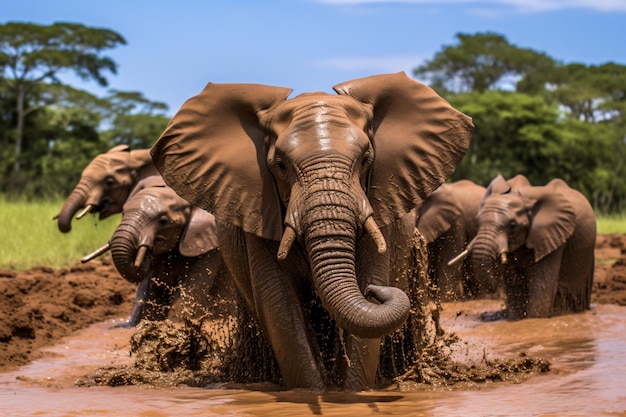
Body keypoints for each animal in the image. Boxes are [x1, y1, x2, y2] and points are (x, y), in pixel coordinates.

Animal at [150, 72, 472, 390]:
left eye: (366, 160)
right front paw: (312, 392)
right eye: (280, 165)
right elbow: (281, 307)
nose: (374, 293)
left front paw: (351, 393)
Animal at [450, 174, 592, 320]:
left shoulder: (554, 235)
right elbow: (514, 284)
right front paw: (516, 317)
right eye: (477, 221)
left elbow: (542, 287)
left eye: (512, 225)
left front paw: (533, 319)